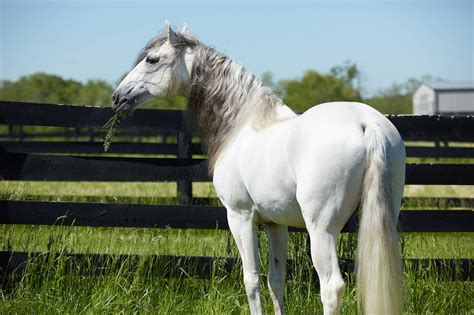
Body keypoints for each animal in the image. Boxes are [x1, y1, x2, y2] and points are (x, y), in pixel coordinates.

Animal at [113, 21, 406, 314]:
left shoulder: (240, 217)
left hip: (321, 230)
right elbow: (276, 280)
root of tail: (366, 123)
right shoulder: (277, 224)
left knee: (331, 287)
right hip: (384, 219)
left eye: (152, 60)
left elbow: (251, 280)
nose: (118, 97)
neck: (242, 125)